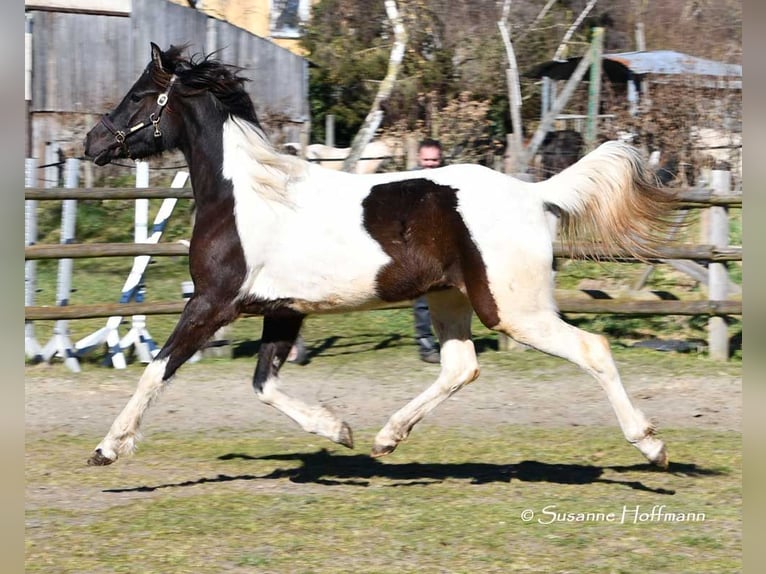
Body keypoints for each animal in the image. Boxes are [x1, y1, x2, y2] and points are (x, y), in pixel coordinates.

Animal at [83, 43, 677, 469]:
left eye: (138, 96)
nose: (91, 143)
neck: (246, 195)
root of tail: (535, 195)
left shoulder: (212, 302)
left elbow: (156, 370)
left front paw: (109, 448)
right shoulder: (282, 309)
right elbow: (264, 384)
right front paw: (338, 430)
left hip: (513, 310)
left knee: (593, 348)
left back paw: (652, 445)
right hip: (449, 298)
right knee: (461, 366)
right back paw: (386, 437)